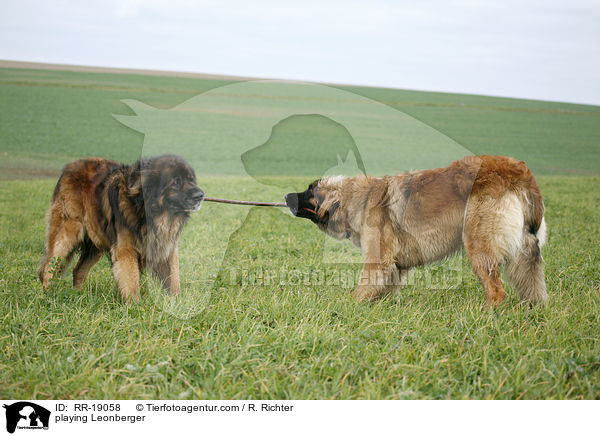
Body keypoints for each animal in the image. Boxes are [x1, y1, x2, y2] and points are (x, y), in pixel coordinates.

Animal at [37, 155, 204, 302]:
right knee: (49, 266)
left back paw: (77, 295)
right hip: (67, 232)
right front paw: (135, 306)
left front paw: (177, 303)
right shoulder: (126, 249)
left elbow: (174, 279)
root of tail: (68, 168)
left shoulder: (166, 248)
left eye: (191, 180)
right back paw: (47, 294)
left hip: (96, 242)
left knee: (78, 271)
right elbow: (131, 281)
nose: (200, 195)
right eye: (176, 182)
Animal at [288, 155, 548, 304]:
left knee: (497, 292)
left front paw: (350, 304)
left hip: (479, 245)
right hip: (524, 251)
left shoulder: (377, 259)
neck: (357, 198)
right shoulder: (395, 265)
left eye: (308, 192)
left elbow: (364, 286)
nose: (286, 195)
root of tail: (519, 172)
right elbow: (384, 288)